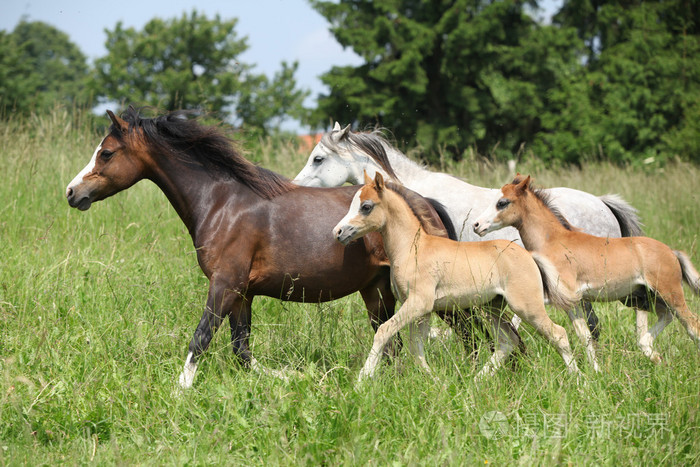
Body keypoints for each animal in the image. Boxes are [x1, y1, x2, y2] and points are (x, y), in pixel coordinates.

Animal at [65, 108, 468, 390]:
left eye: (106, 153)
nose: (71, 192)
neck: (222, 202)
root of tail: (426, 202)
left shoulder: (224, 284)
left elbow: (201, 338)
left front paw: (180, 392)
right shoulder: (243, 293)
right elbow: (242, 351)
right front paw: (295, 377)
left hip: (433, 295)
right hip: (377, 289)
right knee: (391, 340)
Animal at [334, 174, 580, 382]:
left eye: (366, 206)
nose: (338, 232)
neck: (413, 248)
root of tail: (529, 255)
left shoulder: (418, 303)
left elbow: (384, 331)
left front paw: (362, 379)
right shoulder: (420, 310)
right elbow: (416, 347)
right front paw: (435, 381)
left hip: (526, 306)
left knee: (558, 333)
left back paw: (580, 381)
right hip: (493, 307)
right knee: (506, 342)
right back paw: (476, 380)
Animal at [474, 177, 700, 372]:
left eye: (502, 202)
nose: (477, 225)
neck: (552, 241)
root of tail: (672, 252)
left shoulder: (565, 294)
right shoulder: (574, 302)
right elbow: (585, 336)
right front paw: (596, 372)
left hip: (669, 292)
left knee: (692, 325)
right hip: (646, 297)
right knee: (668, 316)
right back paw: (652, 353)